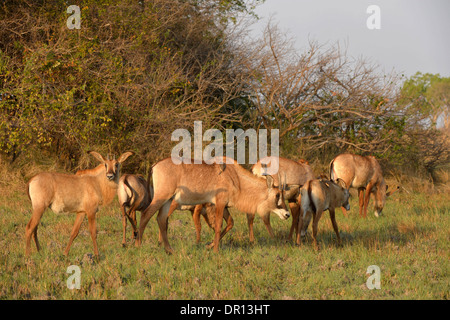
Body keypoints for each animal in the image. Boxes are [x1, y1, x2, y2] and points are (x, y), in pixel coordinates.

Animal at [135, 157, 288, 252]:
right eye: (277, 195)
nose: (287, 214)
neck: (236, 178)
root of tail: (155, 166)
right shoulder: (219, 203)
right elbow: (219, 225)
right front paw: (215, 250)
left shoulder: (223, 205)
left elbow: (230, 223)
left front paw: (209, 245)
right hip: (162, 197)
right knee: (146, 214)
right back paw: (138, 245)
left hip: (168, 200)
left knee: (161, 219)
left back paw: (169, 249)